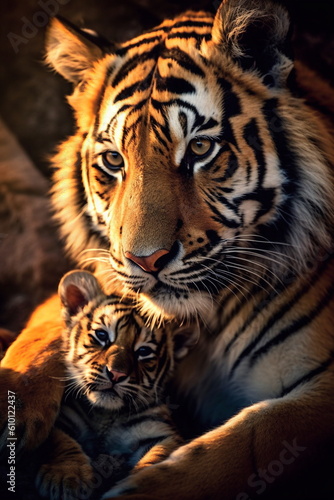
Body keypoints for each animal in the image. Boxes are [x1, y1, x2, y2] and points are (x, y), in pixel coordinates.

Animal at [0, 0, 334, 500]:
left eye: (199, 148)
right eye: (114, 160)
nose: (145, 260)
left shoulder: (319, 390)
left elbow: (248, 444)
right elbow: (43, 332)